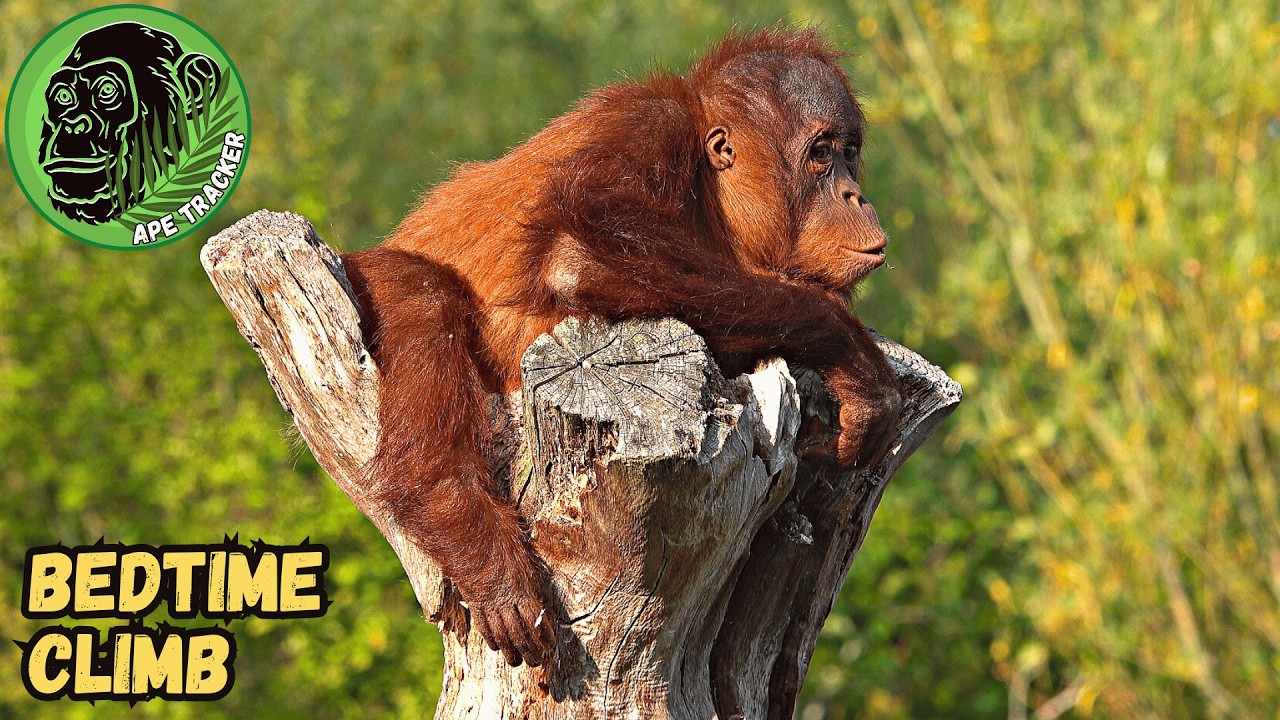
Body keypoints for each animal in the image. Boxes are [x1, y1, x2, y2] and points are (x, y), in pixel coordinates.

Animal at [342, 28, 903, 668]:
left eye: (850, 151)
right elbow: (576, 256)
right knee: (422, 295)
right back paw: (467, 528)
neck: (712, 201)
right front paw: (855, 358)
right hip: (368, 274)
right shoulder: (648, 131)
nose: (856, 195)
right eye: (820, 153)